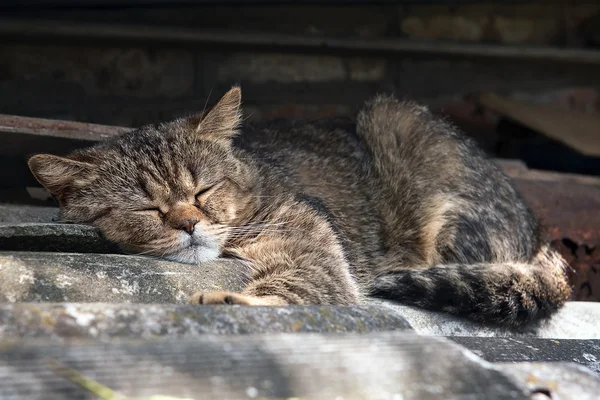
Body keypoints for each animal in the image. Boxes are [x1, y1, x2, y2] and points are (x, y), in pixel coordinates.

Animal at [28, 86, 572, 324]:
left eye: (203, 191)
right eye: (146, 210)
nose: (188, 225)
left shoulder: (314, 248)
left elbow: (297, 289)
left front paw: (231, 300)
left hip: (397, 121)